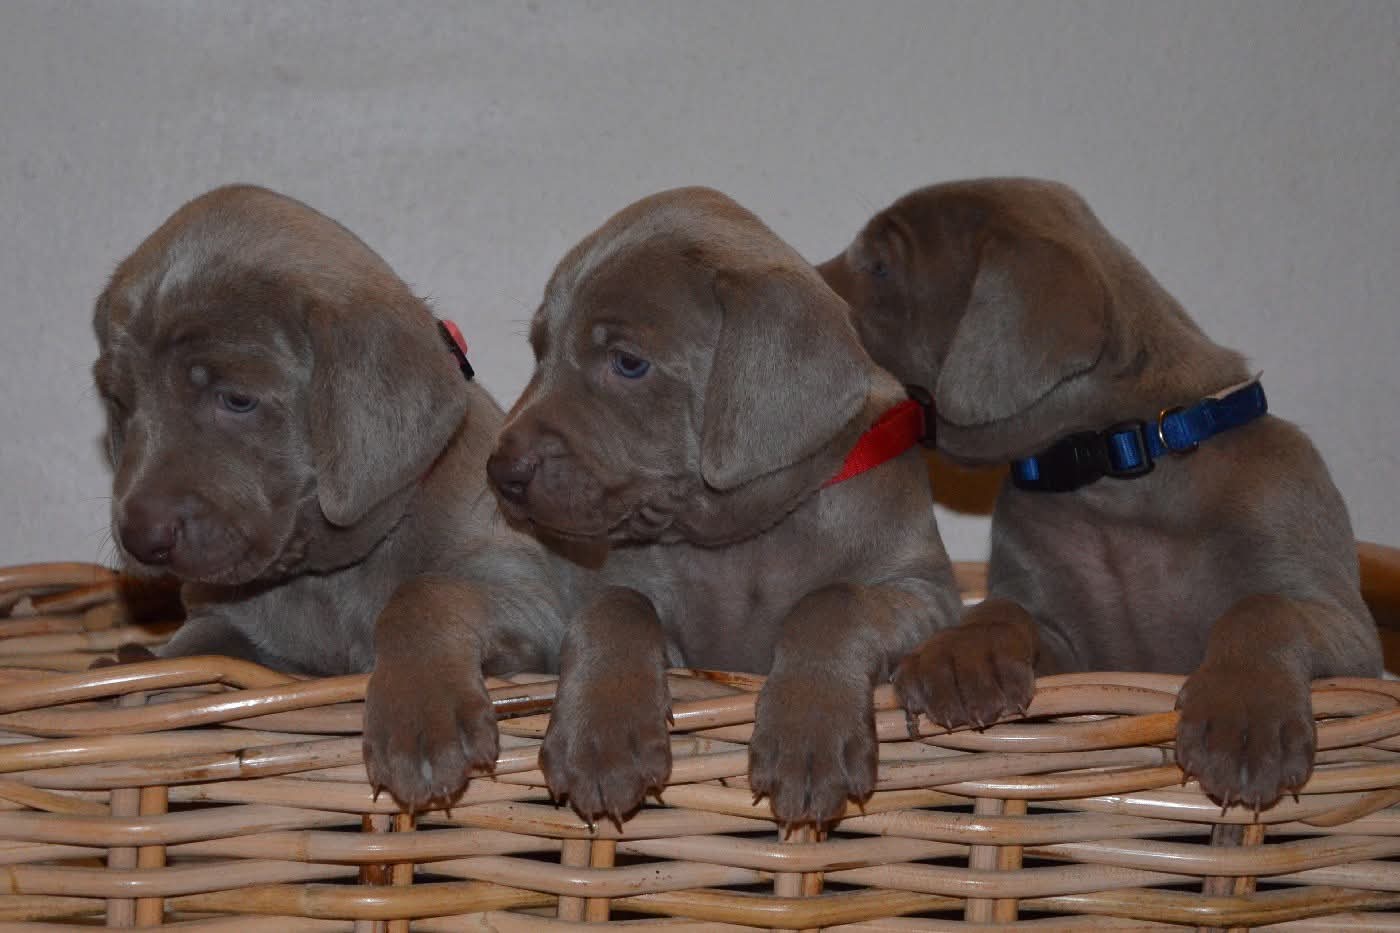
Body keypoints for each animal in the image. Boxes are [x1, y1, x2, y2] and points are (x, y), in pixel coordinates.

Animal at [92, 184, 564, 812]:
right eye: (120, 401)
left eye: (237, 399)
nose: (140, 538)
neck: (326, 579)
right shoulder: (229, 618)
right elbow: (195, 649)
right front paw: (143, 679)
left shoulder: (527, 592)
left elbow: (423, 594)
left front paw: (422, 720)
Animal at [485, 187, 961, 830]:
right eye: (540, 351)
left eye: (628, 362)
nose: (499, 471)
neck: (738, 543)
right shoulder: (614, 588)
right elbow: (617, 603)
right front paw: (601, 739)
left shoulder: (927, 594)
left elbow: (831, 600)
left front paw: (808, 739)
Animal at [818, 177, 1382, 811]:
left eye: (880, 266)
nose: (802, 277)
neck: (1114, 477)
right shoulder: (1071, 650)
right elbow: (1003, 607)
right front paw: (961, 656)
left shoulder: (1350, 631)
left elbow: (1263, 606)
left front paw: (1244, 719)